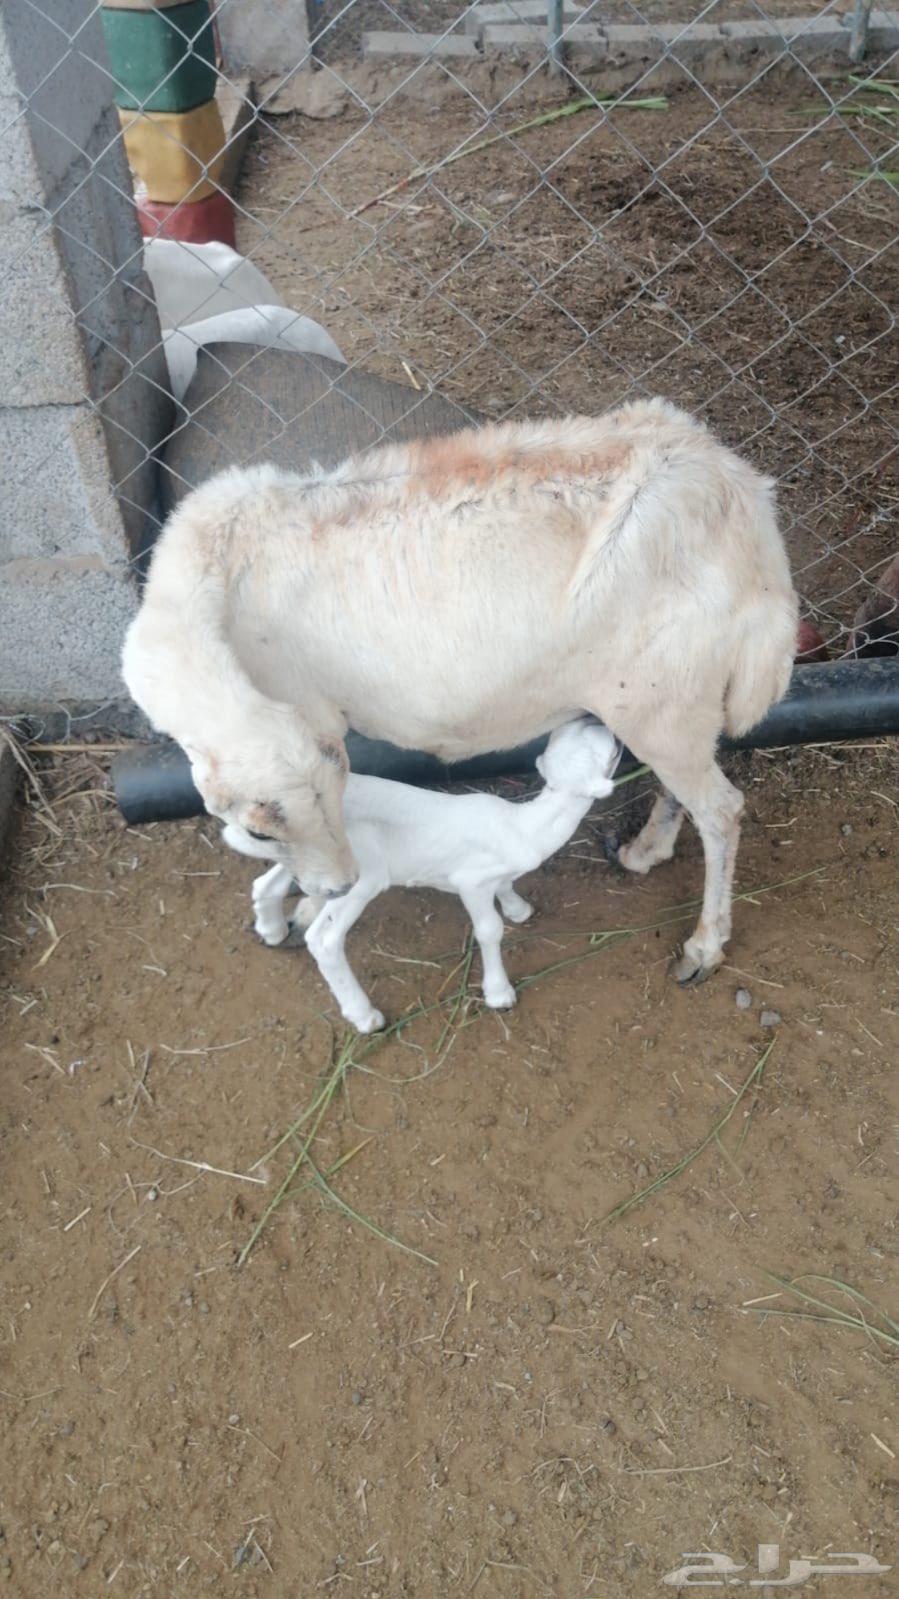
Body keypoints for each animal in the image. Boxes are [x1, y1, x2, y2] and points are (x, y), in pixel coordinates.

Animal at [121, 399, 799, 985]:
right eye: (259, 833)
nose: (340, 886)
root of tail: (750, 522)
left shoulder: (310, 715)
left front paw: (309, 910)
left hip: (661, 702)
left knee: (722, 811)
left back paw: (704, 946)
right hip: (677, 701)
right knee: (685, 789)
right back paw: (643, 852)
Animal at [221, 718, 621, 1032]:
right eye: (612, 752)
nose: (596, 719)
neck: (526, 825)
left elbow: (507, 886)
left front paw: (518, 909)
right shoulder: (471, 881)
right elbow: (489, 930)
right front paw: (499, 992)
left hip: (307, 856)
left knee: (265, 884)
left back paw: (271, 931)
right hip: (363, 875)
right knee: (324, 940)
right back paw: (364, 1016)